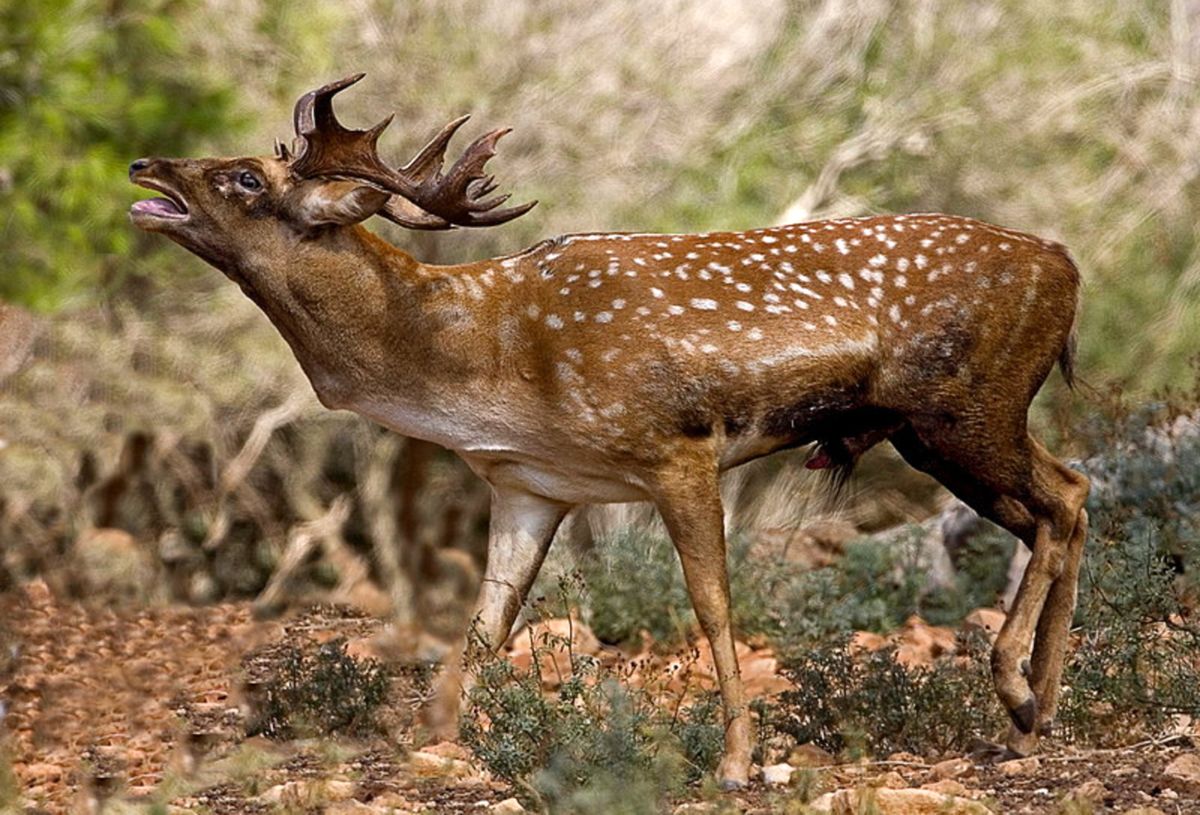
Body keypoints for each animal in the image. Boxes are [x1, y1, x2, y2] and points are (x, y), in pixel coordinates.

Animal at [129, 76, 1089, 792]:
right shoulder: (529, 485)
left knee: (1063, 498)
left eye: (248, 180)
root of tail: (1067, 266)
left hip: (963, 413)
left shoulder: (677, 447)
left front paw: (737, 761)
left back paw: (1017, 692)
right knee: (1071, 494)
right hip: (950, 426)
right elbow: (486, 624)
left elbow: (712, 605)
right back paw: (1036, 714)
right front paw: (446, 745)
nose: (145, 167)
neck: (483, 361)